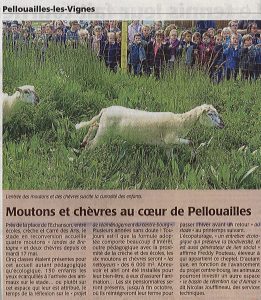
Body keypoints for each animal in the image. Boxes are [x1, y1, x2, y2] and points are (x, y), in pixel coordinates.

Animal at [75, 104, 223, 150]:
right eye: (210, 114)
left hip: (103, 127)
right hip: (104, 133)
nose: (223, 124)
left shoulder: (168, 145)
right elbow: (191, 142)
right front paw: (193, 157)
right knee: (93, 143)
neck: (181, 122)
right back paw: (86, 150)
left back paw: (83, 142)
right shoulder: (171, 139)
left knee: (93, 125)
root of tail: (106, 109)